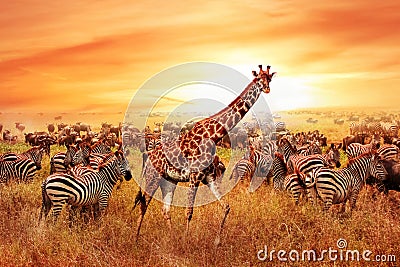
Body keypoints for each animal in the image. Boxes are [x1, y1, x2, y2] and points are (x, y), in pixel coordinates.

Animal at [134, 64, 276, 245]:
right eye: (258, 79)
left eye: (269, 78)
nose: (267, 89)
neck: (213, 135)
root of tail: (149, 156)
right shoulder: (194, 176)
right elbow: (189, 212)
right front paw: (186, 242)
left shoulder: (209, 177)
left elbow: (226, 207)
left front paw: (217, 242)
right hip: (153, 176)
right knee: (143, 205)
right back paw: (136, 239)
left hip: (169, 180)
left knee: (165, 209)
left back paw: (171, 239)